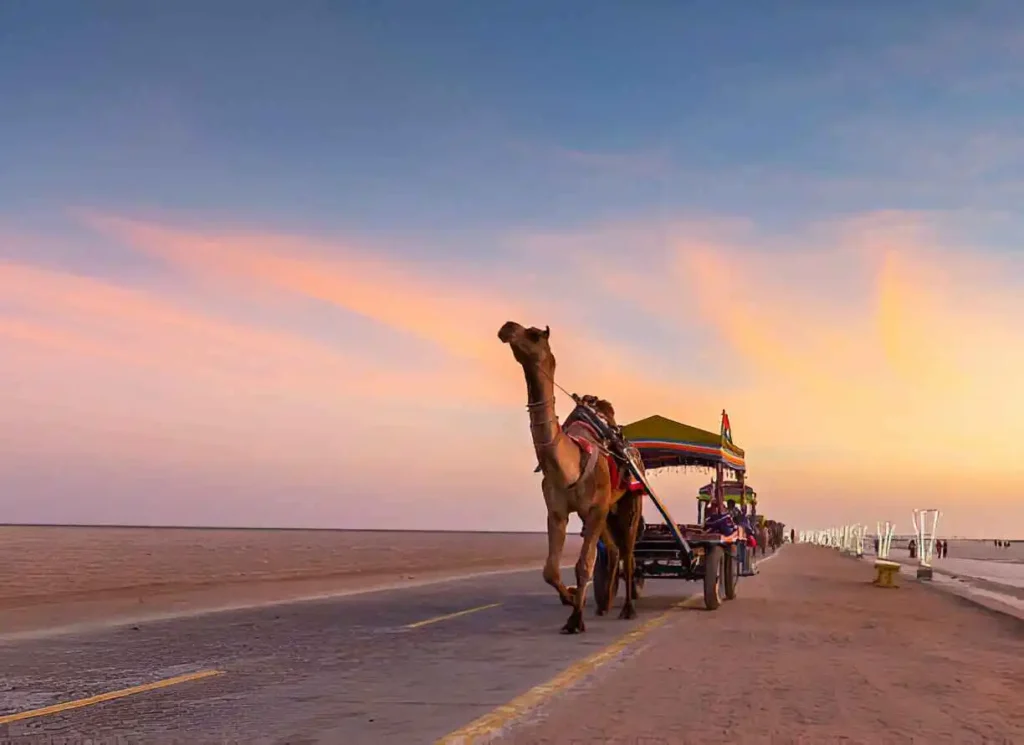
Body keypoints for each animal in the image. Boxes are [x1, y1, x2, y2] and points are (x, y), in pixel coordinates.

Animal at [495, 321, 638, 634]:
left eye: (534, 334)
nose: (507, 327)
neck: (570, 463)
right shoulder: (557, 510)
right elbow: (550, 569)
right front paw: (571, 598)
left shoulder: (595, 508)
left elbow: (584, 564)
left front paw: (575, 619)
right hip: (602, 512)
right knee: (613, 550)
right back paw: (604, 604)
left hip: (629, 501)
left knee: (628, 551)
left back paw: (628, 608)